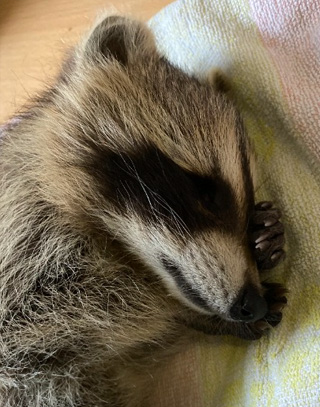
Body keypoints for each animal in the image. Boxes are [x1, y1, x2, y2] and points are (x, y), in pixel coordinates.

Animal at [0, 15, 286, 407]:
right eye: (207, 193)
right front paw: (172, 308)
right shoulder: (21, 229)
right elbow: (83, 301)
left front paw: (263, 239)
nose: (252, 303)